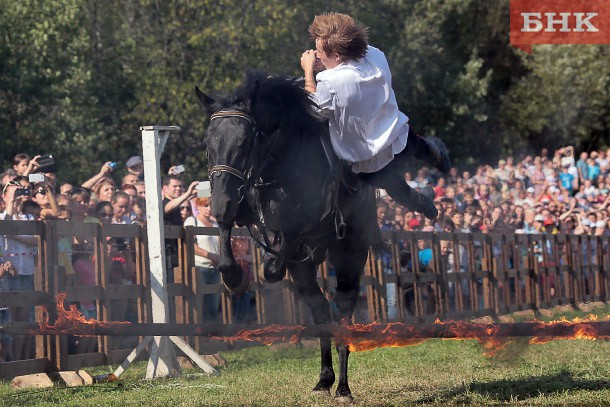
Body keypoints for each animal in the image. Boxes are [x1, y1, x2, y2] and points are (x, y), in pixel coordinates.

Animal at [195, 70, 382, 402]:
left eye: (245, 141)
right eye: (209, 141)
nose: (217, 202)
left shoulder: (301, 225)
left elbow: (275, 261)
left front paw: (266, 265)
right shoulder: (238, 201)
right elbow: (226, 230)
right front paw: (235, 278)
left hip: (349, 256)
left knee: (343, 310)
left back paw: (343, 388)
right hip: (307, 272)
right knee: (320, 309)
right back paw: (324, 380)